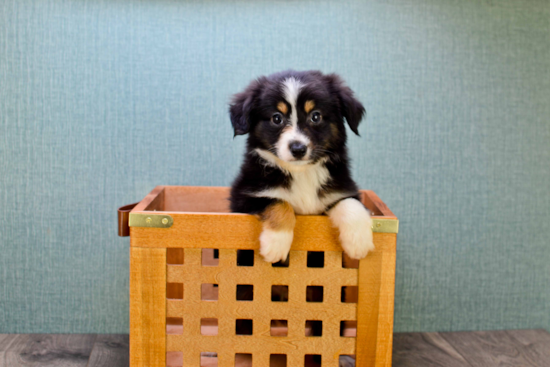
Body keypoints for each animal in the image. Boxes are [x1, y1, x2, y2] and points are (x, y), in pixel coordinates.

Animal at [229, 69, 376, 264]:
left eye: (315, 116)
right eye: (277, 118)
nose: (298, 149)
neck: (302, 173)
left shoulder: (340, 189)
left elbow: (350, 202)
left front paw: (358, 242)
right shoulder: (245, 195)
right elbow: (279, 203)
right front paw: (275, 244)